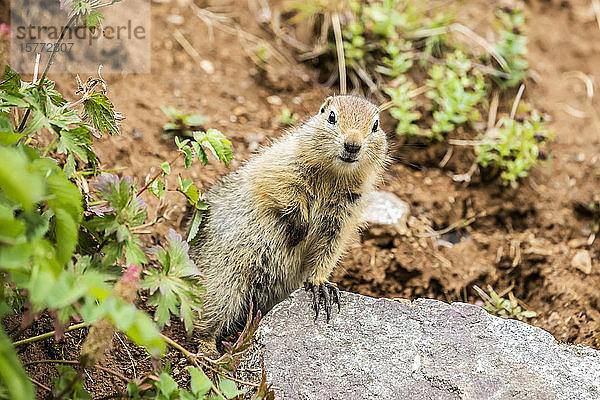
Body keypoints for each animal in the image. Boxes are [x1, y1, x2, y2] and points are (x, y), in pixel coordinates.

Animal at [191, 95, 390, 346]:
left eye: (375, 125)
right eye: (331, 116)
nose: (352, 145)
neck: (333, 175)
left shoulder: (345, 216)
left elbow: (329, 250)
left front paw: (320, 285)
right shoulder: (283, 164)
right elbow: (280, 190)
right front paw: (299, 228)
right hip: (223, 281)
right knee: (205, 319)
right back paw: (208, 349)